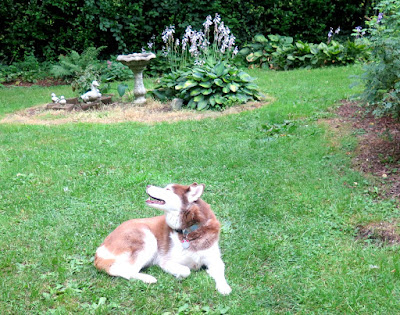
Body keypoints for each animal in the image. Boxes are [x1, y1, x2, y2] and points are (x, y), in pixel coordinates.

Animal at [94, 183, 231, 296]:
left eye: (168, 189)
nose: (148, 185)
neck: (189, 230)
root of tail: (99, 250)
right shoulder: (166, 261)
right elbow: (186, 270)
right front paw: (177, 274)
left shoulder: (215, 260)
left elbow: (220, 272)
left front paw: (224, 287)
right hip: (147, 238)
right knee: (125, 270)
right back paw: (148, 278)